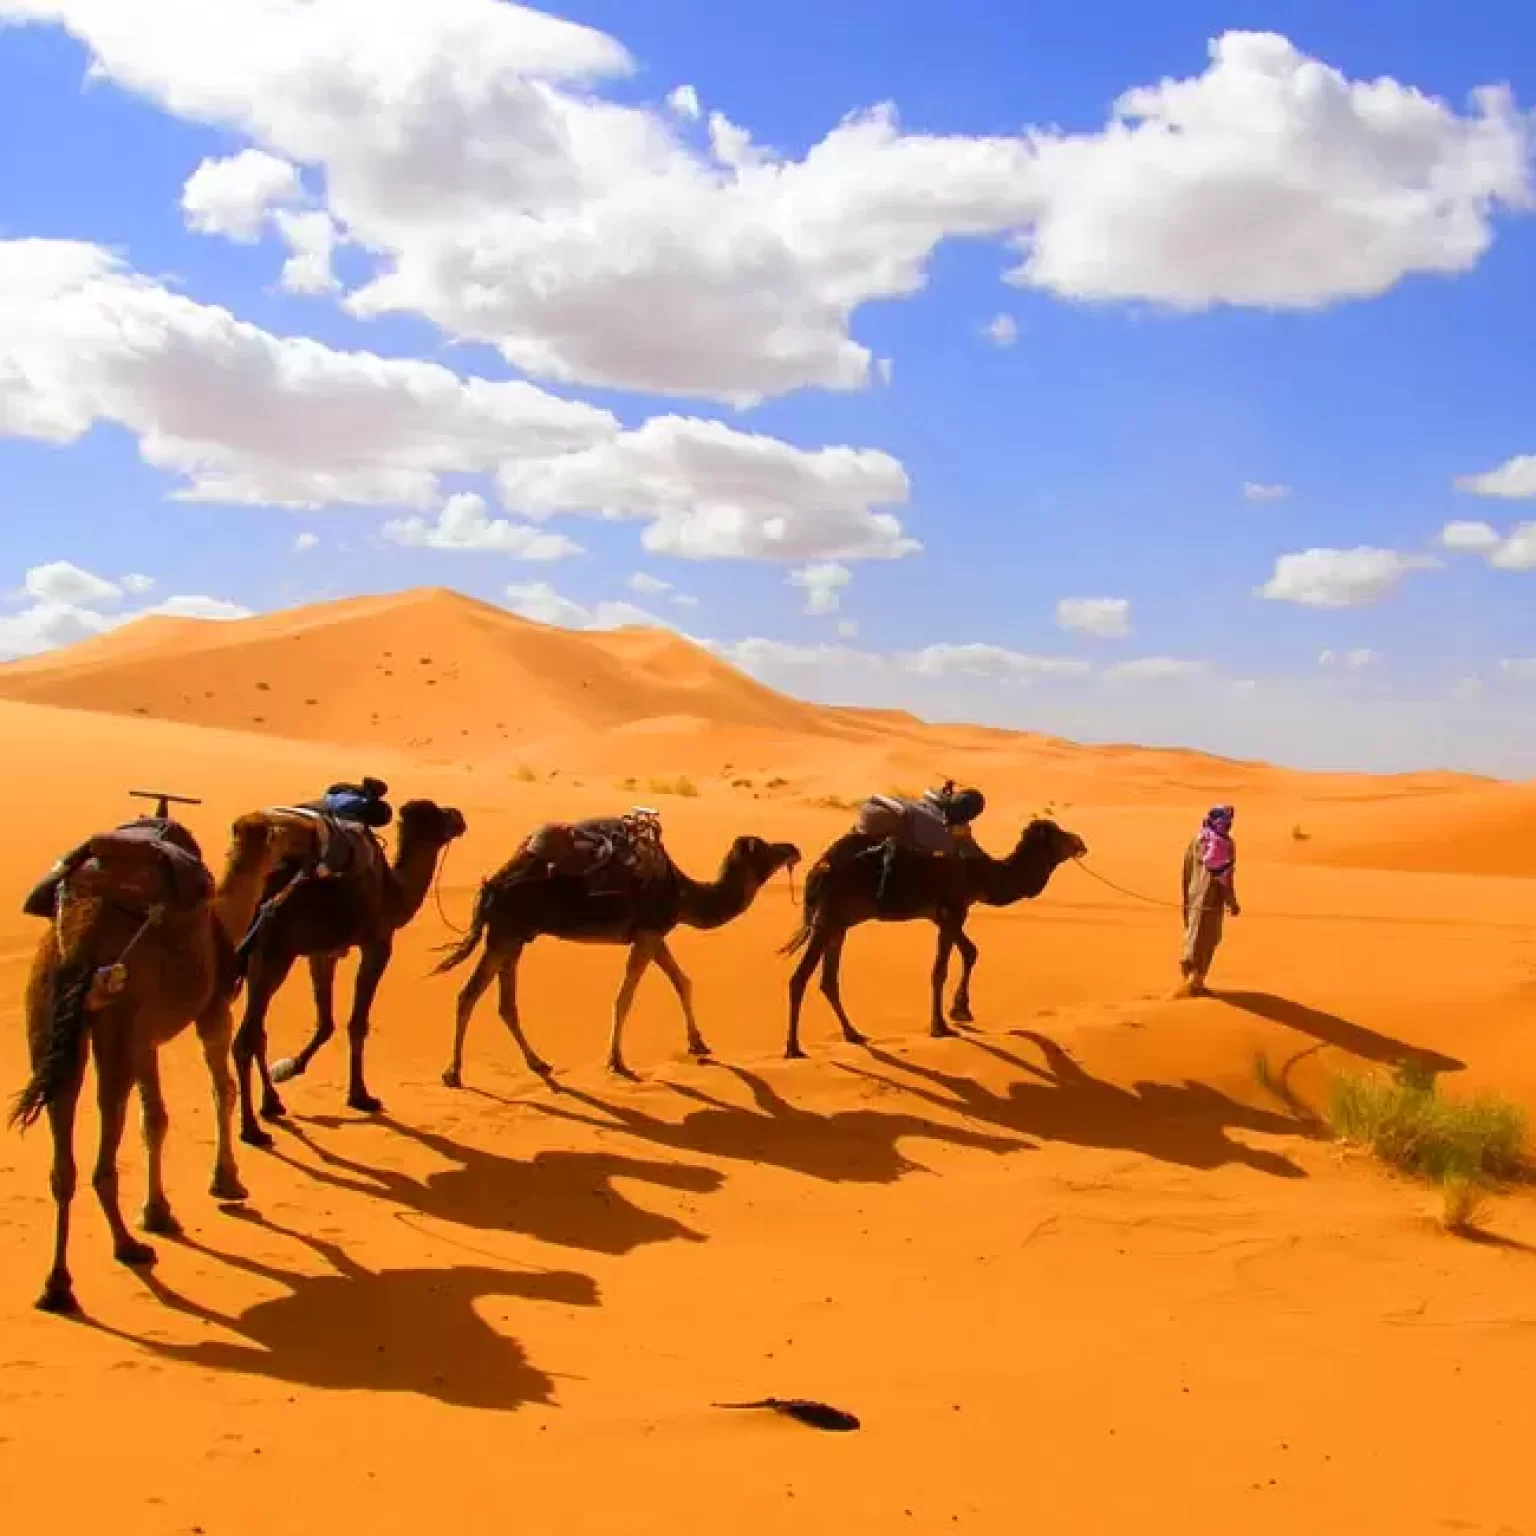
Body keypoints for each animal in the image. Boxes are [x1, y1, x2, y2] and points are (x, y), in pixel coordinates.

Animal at [11, 811, 311, 1314]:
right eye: (281, 831)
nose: (307, 840)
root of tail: (79, 938)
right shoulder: (211, 1010)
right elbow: (221, 1089)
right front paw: (226, 1182)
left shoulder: (145, 1040)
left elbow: (154, 1118)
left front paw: (158, 1212)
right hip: (117, 1014)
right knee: (104, 1139)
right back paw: (127, 1248)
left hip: (48, 1013)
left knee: (62, 1149)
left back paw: (58, 1285)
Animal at [230, 798, 463, 1148]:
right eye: (439, 815)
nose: (459, 817)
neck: (394, 891)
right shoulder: (378, 943)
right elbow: (357, 1024)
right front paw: (361, 1096)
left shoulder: (322, 952)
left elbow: (326, 1022)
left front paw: (290, 1068)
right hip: (273, 955)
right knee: (245, 1038)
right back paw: (251, 1129)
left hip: (259, 960)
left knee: (258, 1031)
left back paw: (272, 1104)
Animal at [430, 829, 798, 1081]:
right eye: (765, 848)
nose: (792, 848)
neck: (682, 893)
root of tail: (490, 886)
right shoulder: (648, 934)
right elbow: (625, 996)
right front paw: (617, 1061)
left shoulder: (654, 933)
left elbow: (682, 981)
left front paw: (699, 1043)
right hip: (504, 936)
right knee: (468, 995)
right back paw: (453, 1072)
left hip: (515, 937)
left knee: (505, 1004)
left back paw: (537, 1062)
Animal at [780, 823, 1093, 1062]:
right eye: (1059, 834)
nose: (1080, 842)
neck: (981, 873)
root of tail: (817, 870)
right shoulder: (953, 909)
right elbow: (940, 970)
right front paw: (940, 1026)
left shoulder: (943, 915)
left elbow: (970, 952)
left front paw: (961, 1009)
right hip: (827, 920)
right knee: (799, 978)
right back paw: (793, 1049)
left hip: (839, 923)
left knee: (828, 980)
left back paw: (853, 1034)